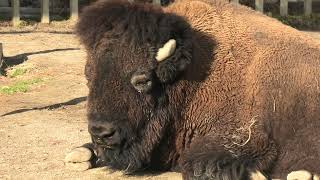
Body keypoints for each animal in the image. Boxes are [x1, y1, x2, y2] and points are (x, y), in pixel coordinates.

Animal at [65, 0, 320, 179]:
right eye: (88, 76)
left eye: (142, 80)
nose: (101, 132)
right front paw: (82, 153)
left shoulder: (248, 138)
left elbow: (197, 165)